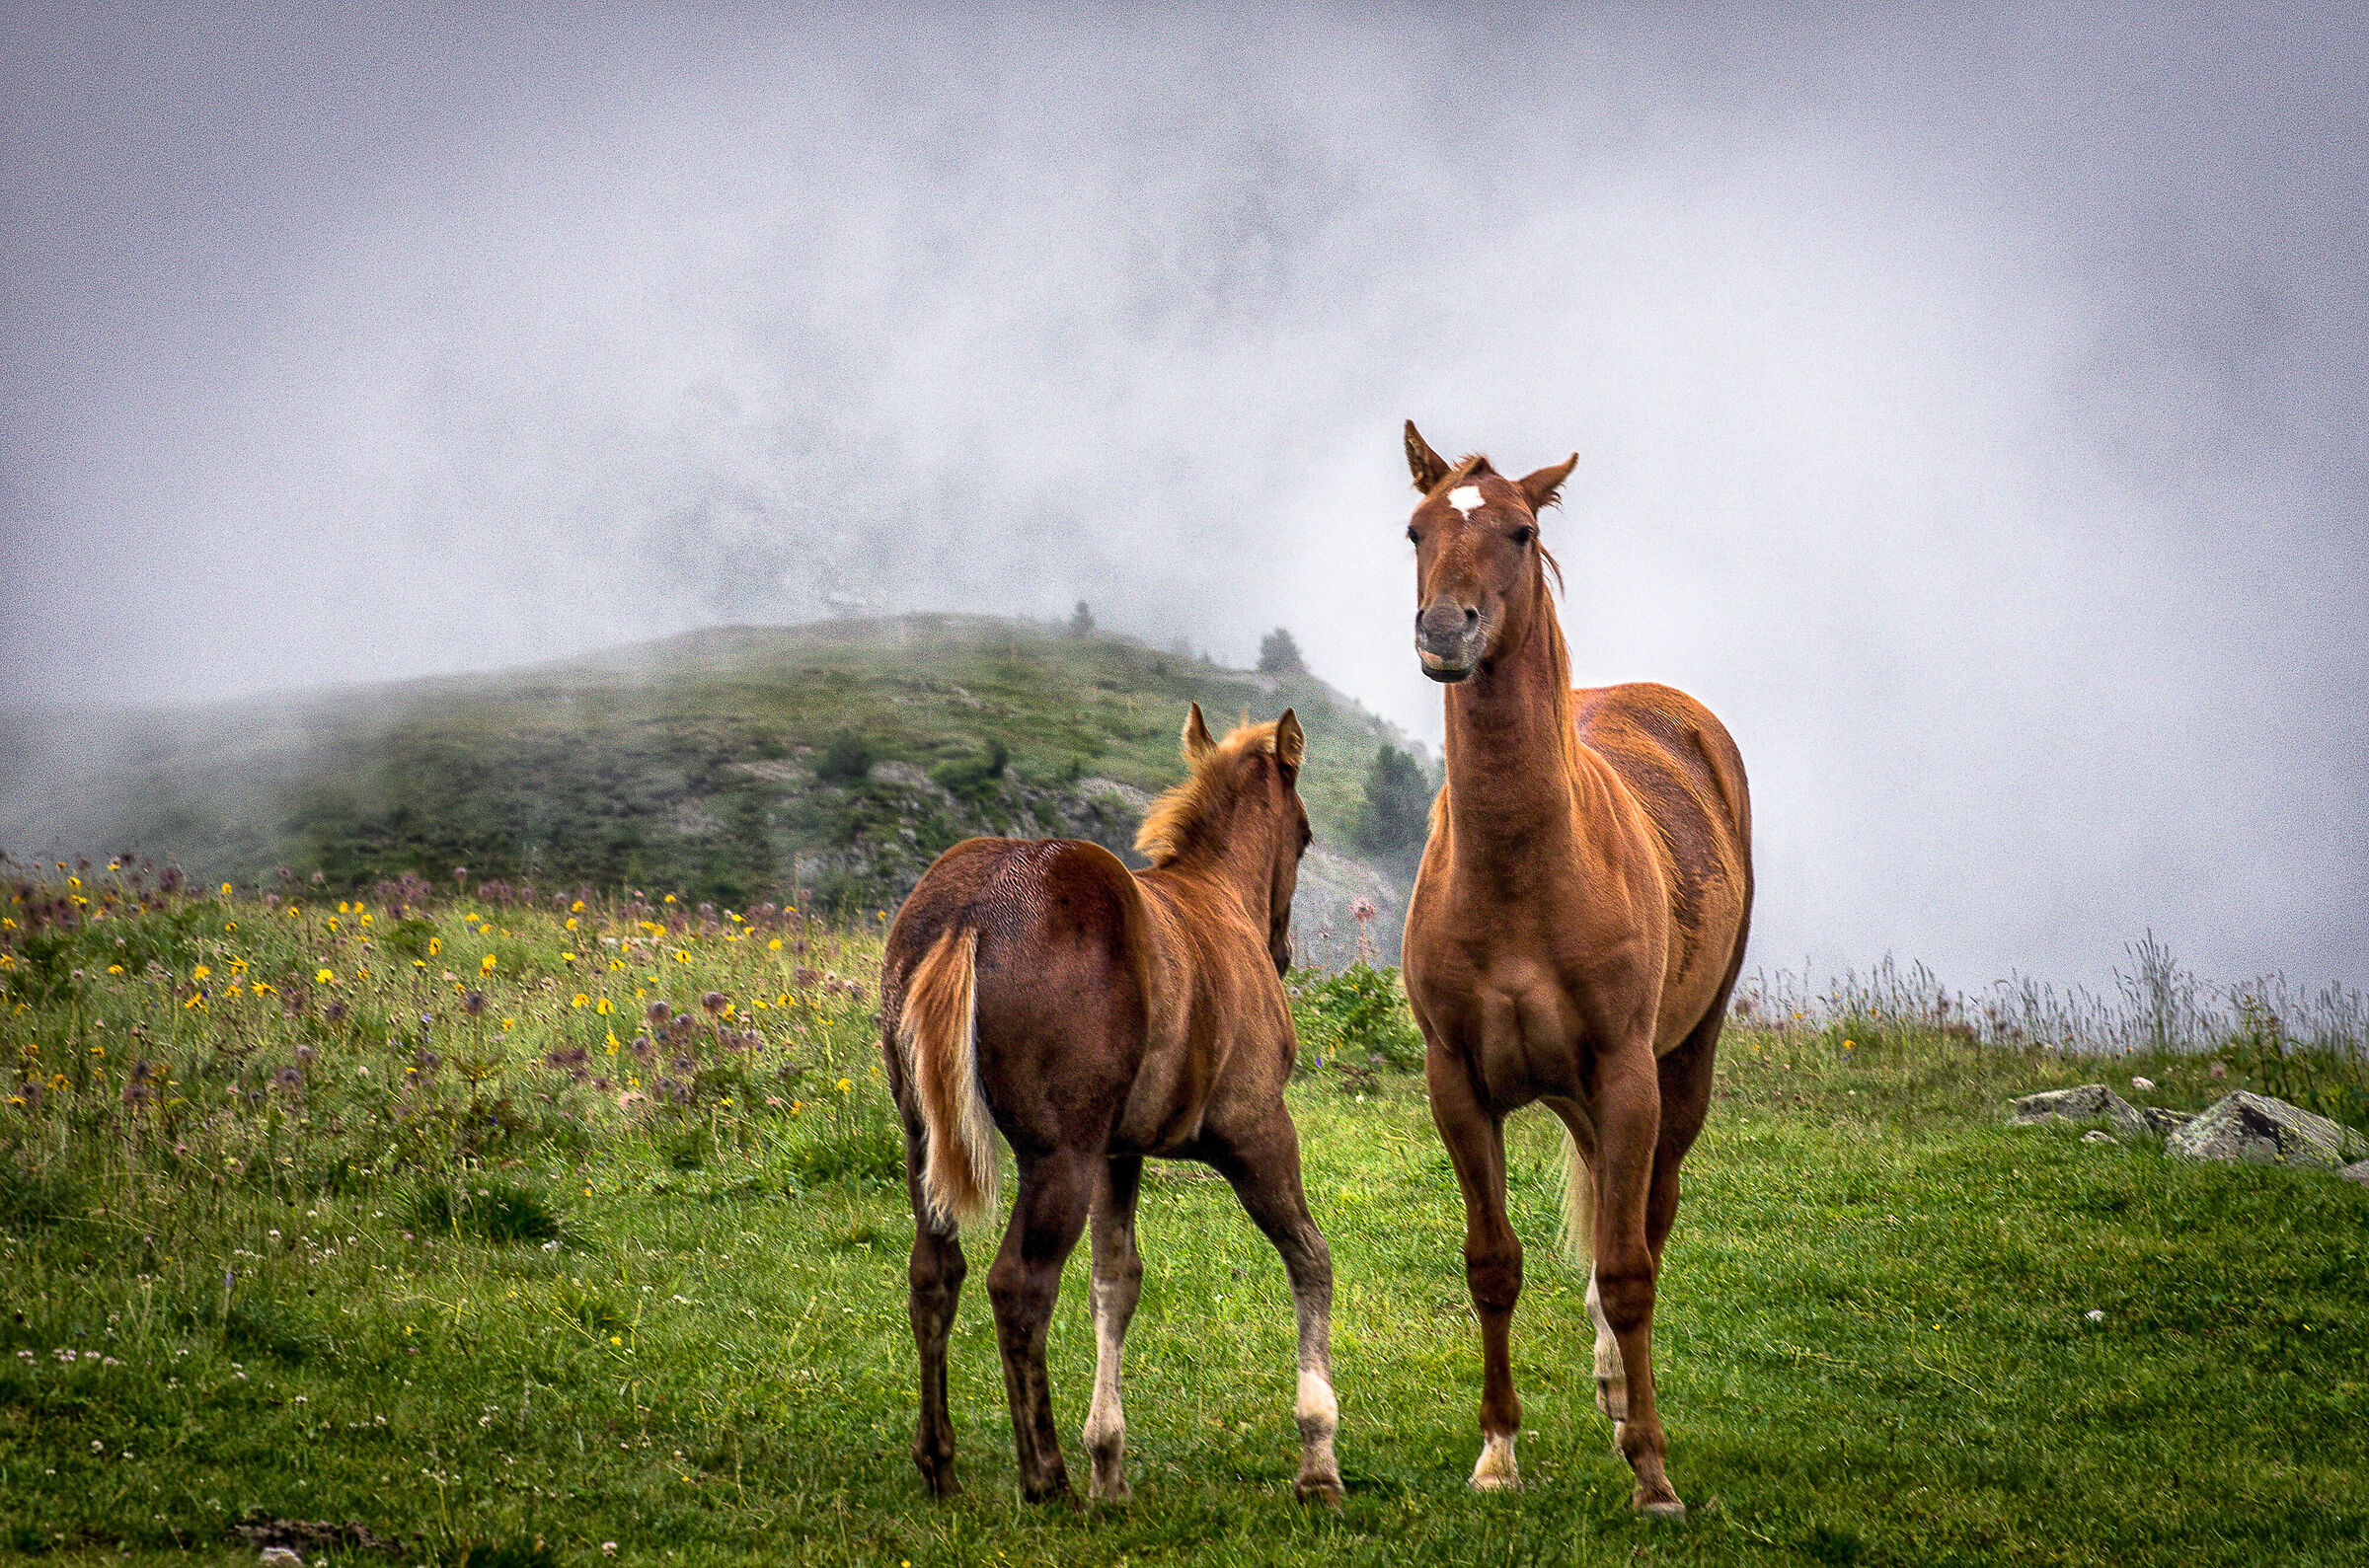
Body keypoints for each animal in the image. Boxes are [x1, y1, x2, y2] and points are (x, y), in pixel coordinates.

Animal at [879, 704, 1342, 1508]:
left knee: (934, 1274)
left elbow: (1115, 1282)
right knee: (1019, 1284)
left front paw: (1110, 1462)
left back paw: (941, 1462)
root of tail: (976, 908)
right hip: (1056, 1156)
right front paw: (1318, 1457)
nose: (1281, 952)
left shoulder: (1119, 1152)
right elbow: (1309, 1258)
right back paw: (1046, 1475)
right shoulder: (1256, 1128)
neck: (1217, 896)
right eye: (1306, 832)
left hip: (923, 1141)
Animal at [1395, 421, 1754, 1519]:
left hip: (1678, 1069)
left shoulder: (1629, 1073)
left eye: (1519, 531)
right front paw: (1497, 1453)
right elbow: (1492, 1262)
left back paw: (1628, 1406)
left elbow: (1632, 1266)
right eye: (1415, 530)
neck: (1524, 868)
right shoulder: (1457, 1081)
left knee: (1645, 1224)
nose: (1446, 631)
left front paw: (1653, 1471)